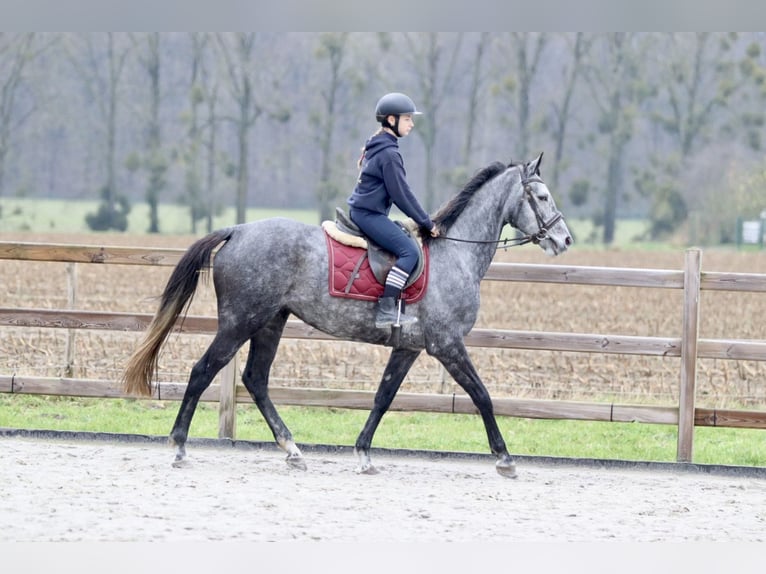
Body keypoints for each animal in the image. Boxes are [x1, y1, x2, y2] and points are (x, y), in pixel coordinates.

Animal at [123, 152, 572, 476]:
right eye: (542, 196)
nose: (565, 239)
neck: (454, 255)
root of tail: (238, 230)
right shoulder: (446, 344)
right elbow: (482, 396)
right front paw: (505, 458)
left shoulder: (410, 347)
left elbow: (383, 396)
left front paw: (363, 453)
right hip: (240, 322)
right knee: (203, 370)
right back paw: (179, 445)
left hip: (270, 321)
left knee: (256, 380)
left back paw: (292, 449)